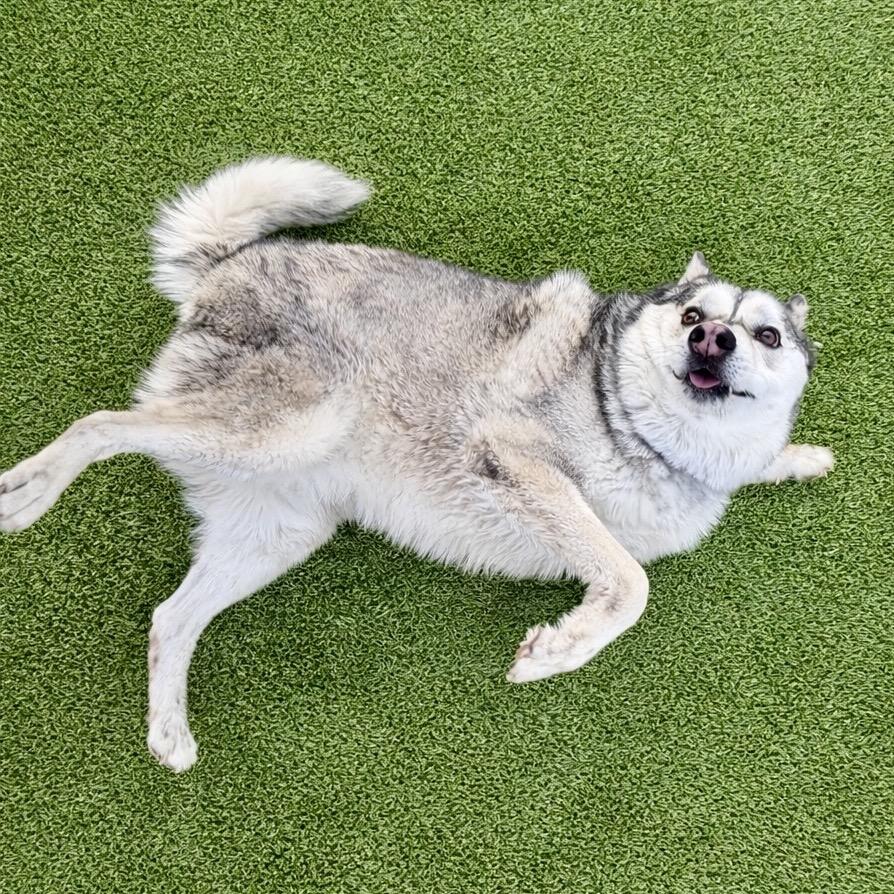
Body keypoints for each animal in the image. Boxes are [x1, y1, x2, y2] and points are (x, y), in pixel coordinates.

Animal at [0, 157, 833, 771]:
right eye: (694, 315)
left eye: (766, 335)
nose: (711, 341)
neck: (636, 420)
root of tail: (225, 265)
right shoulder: (517, 460)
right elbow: (631, 585)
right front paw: (556, 651)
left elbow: (744, 472)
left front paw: (803, 457)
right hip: (287, 425)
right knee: (100, 425)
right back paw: (25, 494)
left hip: (277, 532)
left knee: (169, 619)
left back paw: (169, 734)